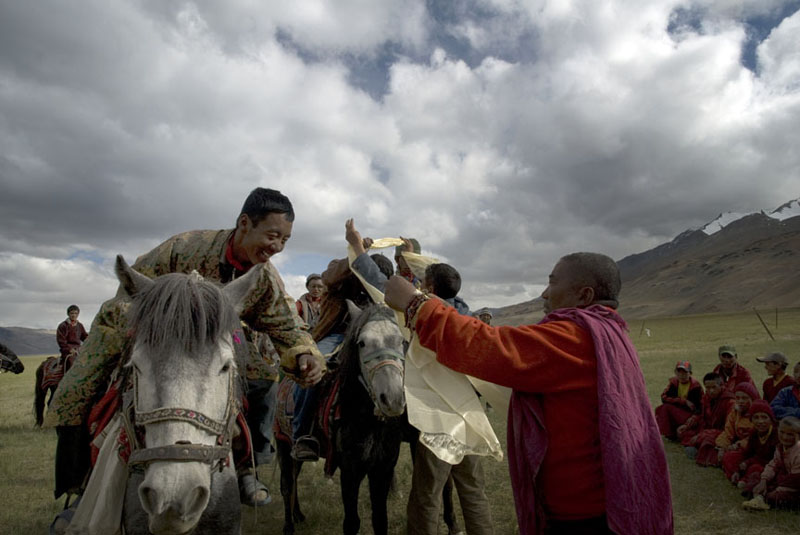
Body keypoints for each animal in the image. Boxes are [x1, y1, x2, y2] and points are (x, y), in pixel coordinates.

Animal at [278, 302, 410, 535]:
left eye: (402, 341)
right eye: (362, 343)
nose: (392, 399)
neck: (369, 422)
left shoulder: (383, 469)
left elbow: (380, 520)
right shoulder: (350, 471)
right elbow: (351, 522)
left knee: (294, 478)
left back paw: (299, 515)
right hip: (283, 445)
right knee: (286, 484)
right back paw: (289, 526)